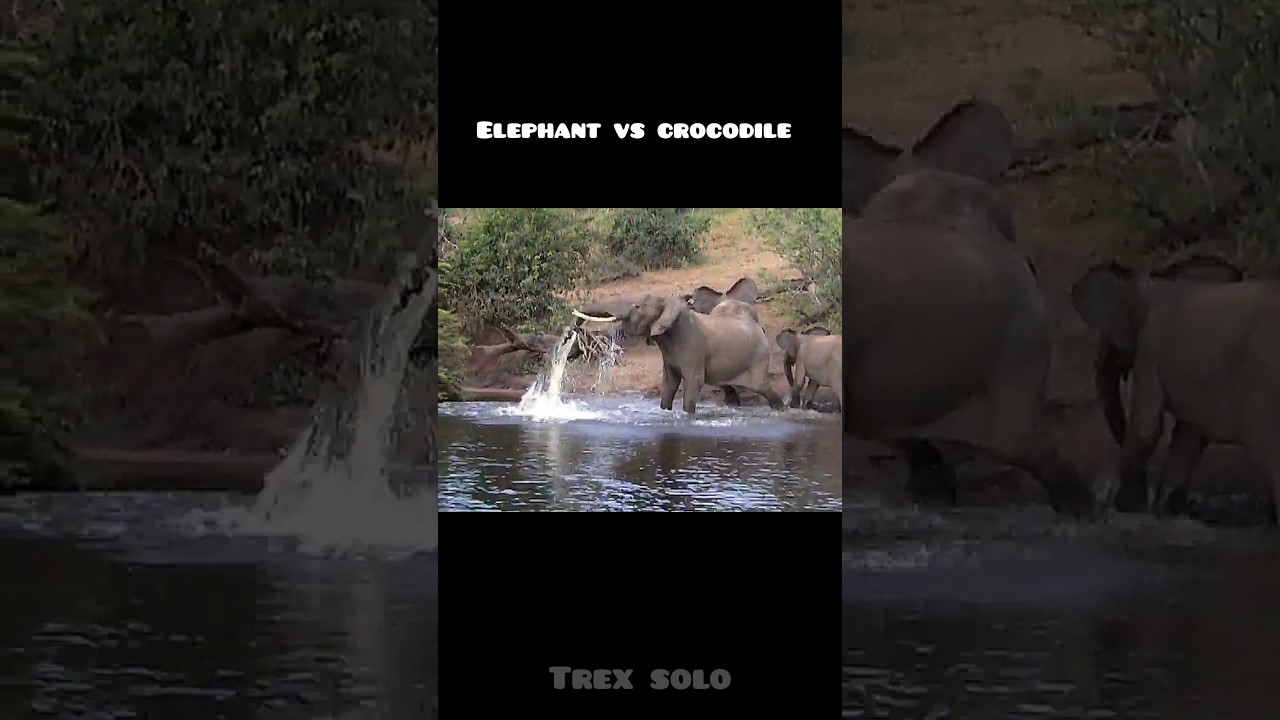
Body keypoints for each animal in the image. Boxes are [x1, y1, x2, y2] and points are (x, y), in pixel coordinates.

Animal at [572, 294, 784, 414]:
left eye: (637, 306)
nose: (575, 326)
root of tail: (758, 326)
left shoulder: (693, 347)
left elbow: (693, 382)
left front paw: (687, 416)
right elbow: (669, 383)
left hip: (758, 359)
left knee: (764, 388)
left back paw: (780, 410)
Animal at [1069, 258, 1280, 520]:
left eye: (1111, 340)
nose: (1144, 501)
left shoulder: (1151, 348)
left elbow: (1147, 426)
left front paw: (1130, 507)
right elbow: (1188, 436)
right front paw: (1167, 511)